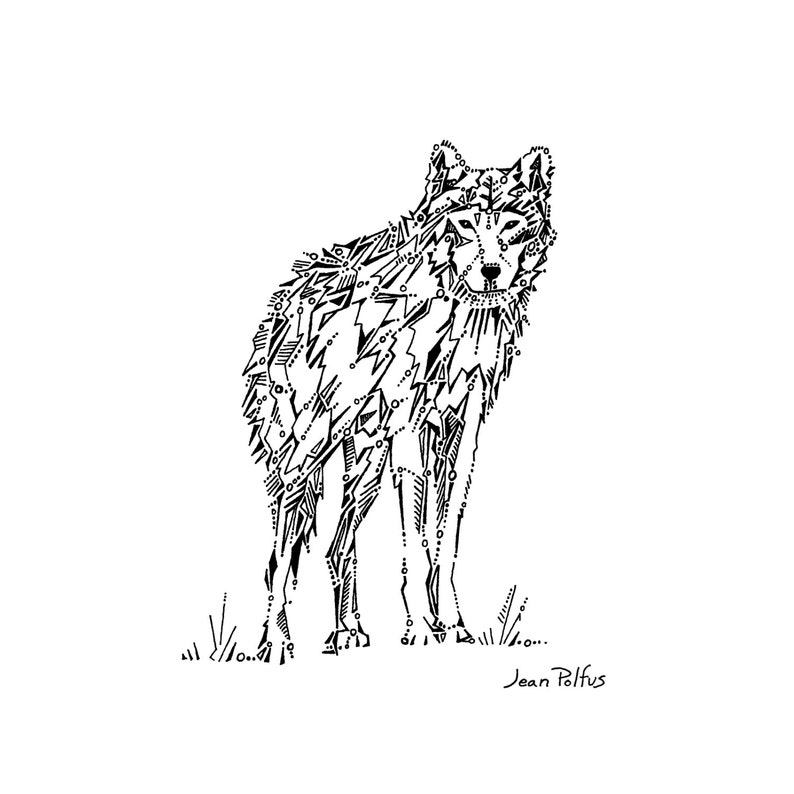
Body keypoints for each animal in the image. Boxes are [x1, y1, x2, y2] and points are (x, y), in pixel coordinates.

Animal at [243, 141, 555, 663]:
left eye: (511, 223)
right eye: (465, 222)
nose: (491, 271)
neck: (458, 314)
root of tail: (285, 298)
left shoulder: (463, 430)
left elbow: (444, 539)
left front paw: (454, 624)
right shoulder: (410, 429)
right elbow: (416, 539)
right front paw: (424, 629)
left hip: (366, 461)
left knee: (336, 544)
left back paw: (347, 632)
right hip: (305, 455)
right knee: (281, 552)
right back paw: (277, 641)